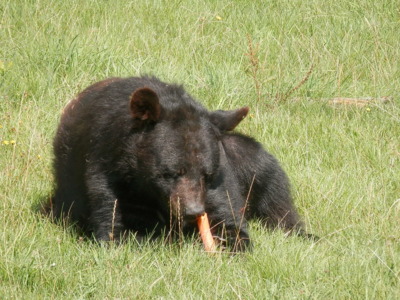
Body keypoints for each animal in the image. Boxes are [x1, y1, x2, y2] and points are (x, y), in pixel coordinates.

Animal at [51, 75, 310, 251]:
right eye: (170, 173)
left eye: (207, 174)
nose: (193, 211)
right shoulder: (107, 169)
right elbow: (115, 225)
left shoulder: (219, 178)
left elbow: (228, 217)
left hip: (241, 151)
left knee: (273, 190)